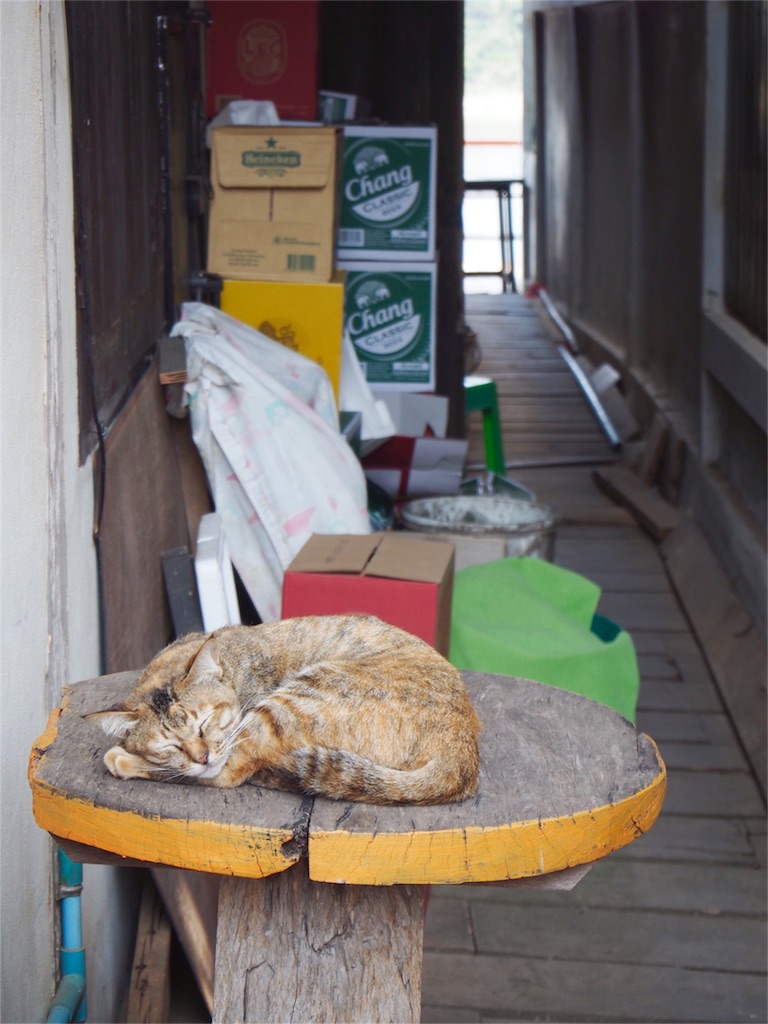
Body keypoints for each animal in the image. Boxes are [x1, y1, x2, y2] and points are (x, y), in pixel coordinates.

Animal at [83, 614, 481, 806]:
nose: (201, 757)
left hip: (295, 699)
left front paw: (126, 758)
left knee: (229, 774)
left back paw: (122, 760)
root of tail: (463, 750)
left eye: (205, 723)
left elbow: (217, 772)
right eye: (169, 745)